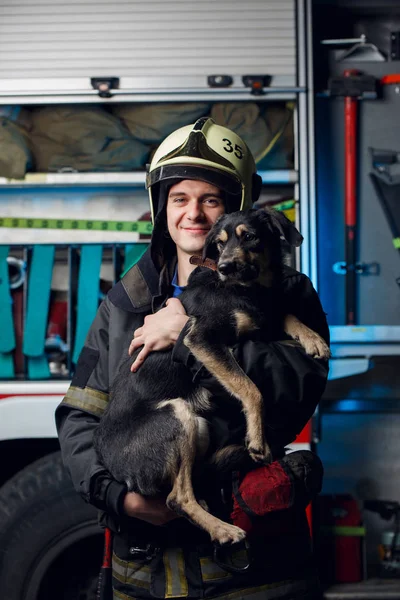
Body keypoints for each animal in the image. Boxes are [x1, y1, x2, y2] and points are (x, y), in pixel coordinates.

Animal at [94, 209, 328, 548]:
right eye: (218, 244)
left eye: (249, 236)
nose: (226, 267)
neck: (250, 287)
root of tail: (114, 469)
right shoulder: (201, 338)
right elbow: (251, 388)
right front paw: (257, 439)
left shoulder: (263, 313)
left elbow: (285, 313)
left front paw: (313, 338)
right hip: (177, 415)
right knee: (177, 498)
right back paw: (222, 528)